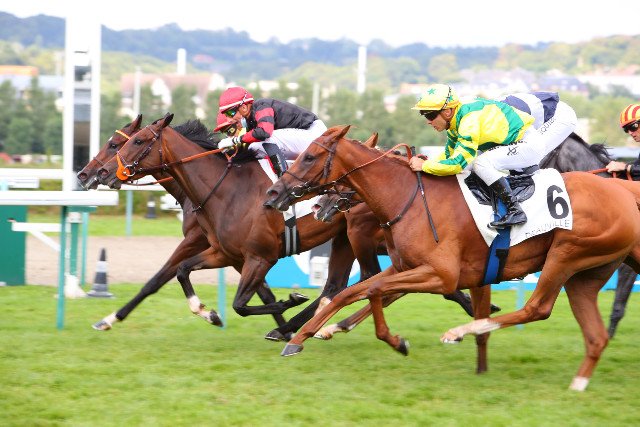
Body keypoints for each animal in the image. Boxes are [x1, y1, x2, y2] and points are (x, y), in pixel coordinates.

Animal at [76, 116, 295, 333]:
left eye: (115, 145)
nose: (86, 174)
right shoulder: (232, 251)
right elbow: (264, 293)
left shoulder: (196, 241)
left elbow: (156, 280)